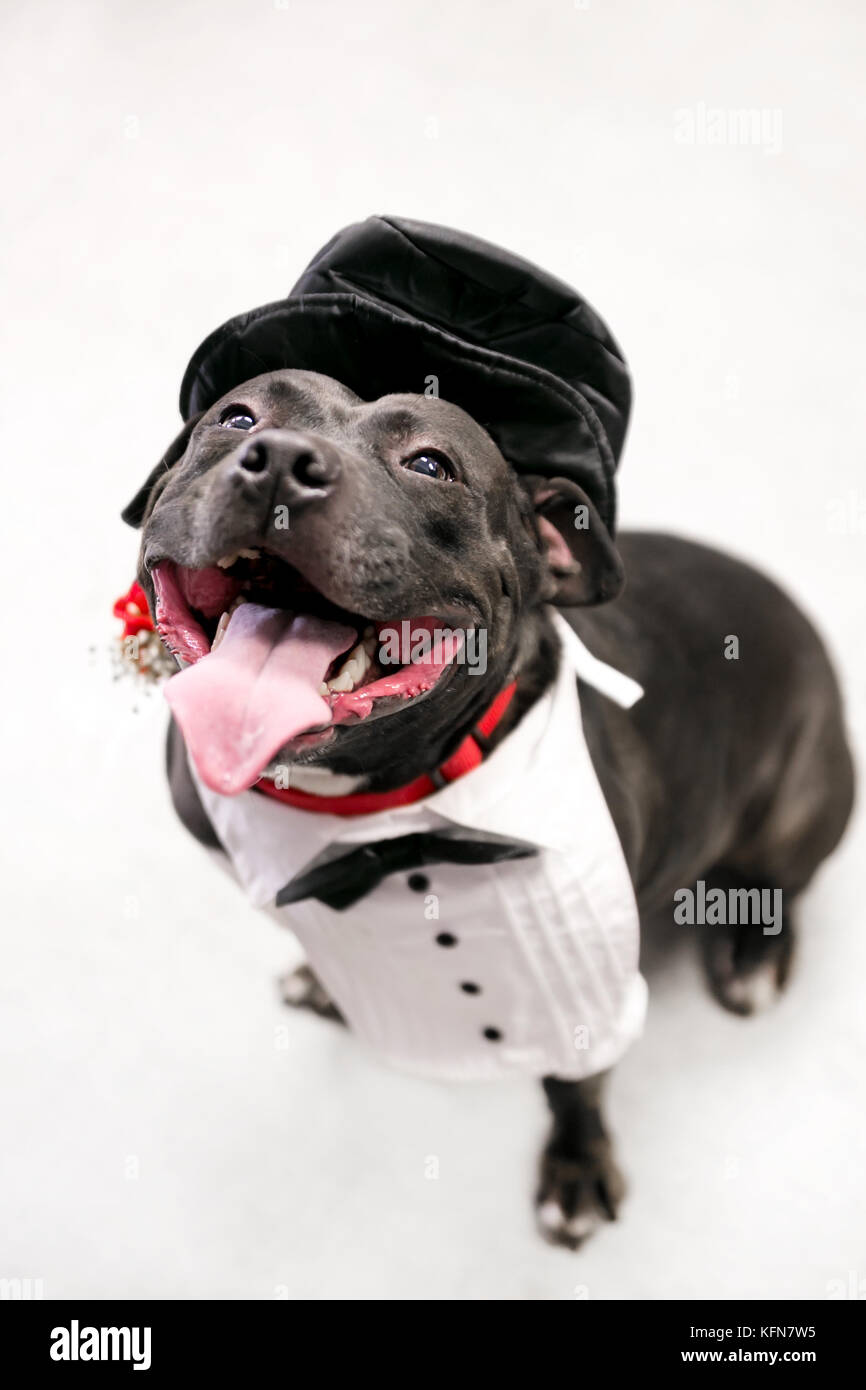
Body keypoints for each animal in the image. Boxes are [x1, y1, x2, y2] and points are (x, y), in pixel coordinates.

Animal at [120, 366, 856, 1251]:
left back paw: (754, 957)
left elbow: (577, 1083)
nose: (281, 462)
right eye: (236, 416)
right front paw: (328, 981)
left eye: (431, 464)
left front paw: (575, 1170)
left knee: (781, 884)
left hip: (798, 806)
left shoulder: (587, 980)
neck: (369, 815)